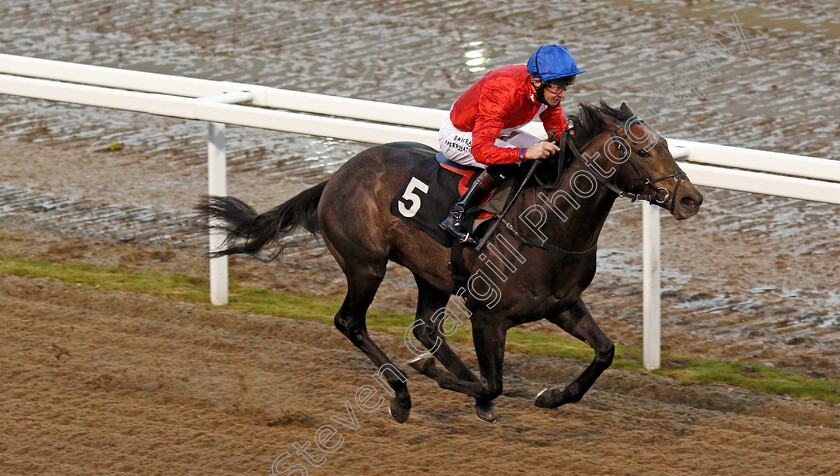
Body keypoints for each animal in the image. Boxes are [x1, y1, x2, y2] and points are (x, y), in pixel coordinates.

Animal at [195, 102, 704, 422]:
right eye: (643, 150)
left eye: (665, 145)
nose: (691, 198)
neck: (549, 225)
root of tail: (337, 175)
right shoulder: (488, 317)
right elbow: (494, 383)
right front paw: (436, 378)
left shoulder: (562, 304)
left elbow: (605, 352)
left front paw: (552, 396)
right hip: (366, 265)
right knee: (351, 322)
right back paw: (403, 392)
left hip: (432, 274)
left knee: (425, 327)